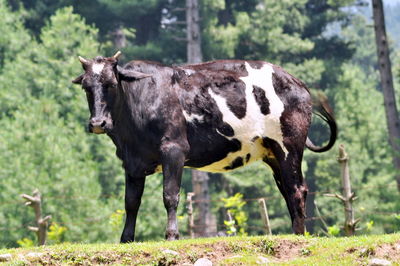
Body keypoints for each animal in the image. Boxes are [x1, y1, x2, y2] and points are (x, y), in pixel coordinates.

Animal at [72, 51, 338, 242]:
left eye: (111, 84)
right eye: (86, 87)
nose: (97, 123)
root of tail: (296, 83)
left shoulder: (174, 150)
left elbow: (170, 195)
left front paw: (171, 235)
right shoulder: (132, 161)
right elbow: (131, 202)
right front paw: (126, 239)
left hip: (289, 147)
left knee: (297, 189)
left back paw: (299, 234)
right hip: (272, 154)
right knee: (287, 190)